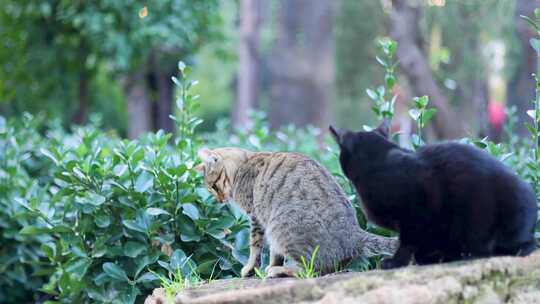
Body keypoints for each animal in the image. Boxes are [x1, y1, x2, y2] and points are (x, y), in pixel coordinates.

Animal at [195, 147, 396, 278]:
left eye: (213, 186)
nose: (219, 199)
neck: (243, 164)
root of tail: (355, 236)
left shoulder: (256, 218)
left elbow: (255, 247)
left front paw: (250, 268)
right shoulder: (264, 223)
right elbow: (274, 252)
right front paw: (270, 264)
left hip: (282, 227)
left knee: (311, 270)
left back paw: (278, 271)